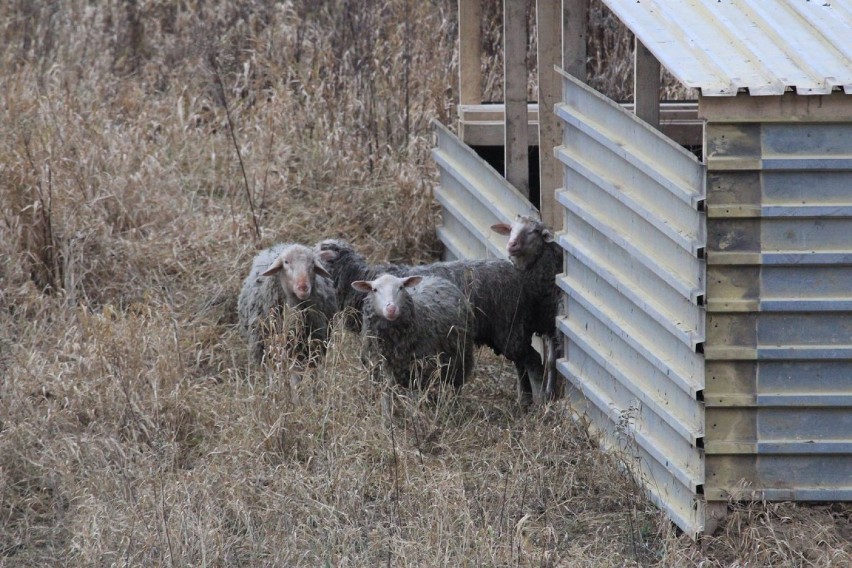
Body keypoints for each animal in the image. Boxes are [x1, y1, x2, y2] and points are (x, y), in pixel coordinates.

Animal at [318, 237, 544, 406]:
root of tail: (521, 277)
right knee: (522, 363)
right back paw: (525, 400)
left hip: (509, 327)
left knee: (532, 361)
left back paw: (539, 402)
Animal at [490, 213, 564, 400]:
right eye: (510, 228)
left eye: (535, 231)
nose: (511, 244)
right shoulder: (522, 325)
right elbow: (519, 360)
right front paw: (523, 395)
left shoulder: (551, 324)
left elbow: (551, 362)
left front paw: (549, 394)